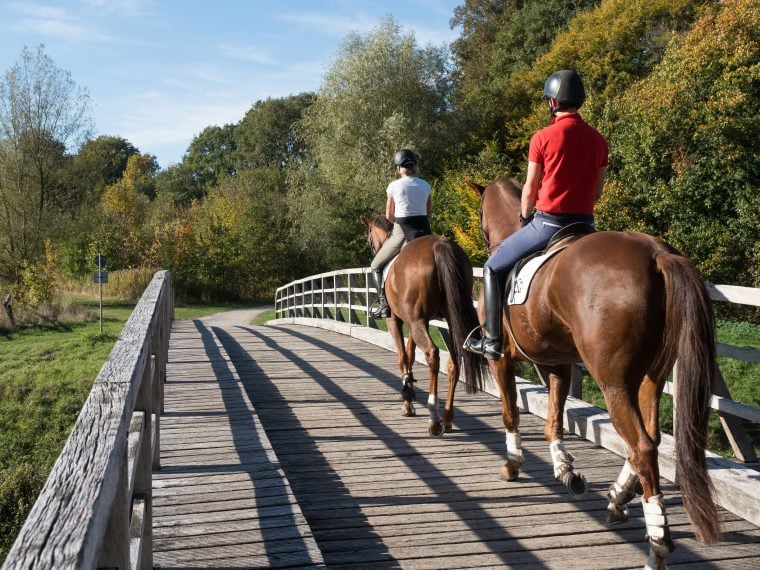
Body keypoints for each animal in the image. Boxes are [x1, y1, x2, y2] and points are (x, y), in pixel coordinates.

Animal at [364, 215, 484, 432]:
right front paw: (409, 394)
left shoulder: (395, 320)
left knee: (432, 354)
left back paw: (434, 418)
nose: (374, 249)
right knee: (454, 360)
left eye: (369, 240)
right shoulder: (418, 322)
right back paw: (447, 418)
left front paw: (407, 400)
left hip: (416, 321)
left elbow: (402, 357)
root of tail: (440, 246)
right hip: (448, 318)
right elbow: (410, 355)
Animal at [466, 176, 720, 564]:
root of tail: (656, 253)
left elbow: (511, 413)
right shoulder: (556, 362)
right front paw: (565, 470)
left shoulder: (502, 360)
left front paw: (513, 463)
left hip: (614, 384)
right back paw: (618, 497)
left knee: (643, 446)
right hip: (651, 376)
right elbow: (554, 418)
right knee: (650, 438)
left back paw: (657, 540)